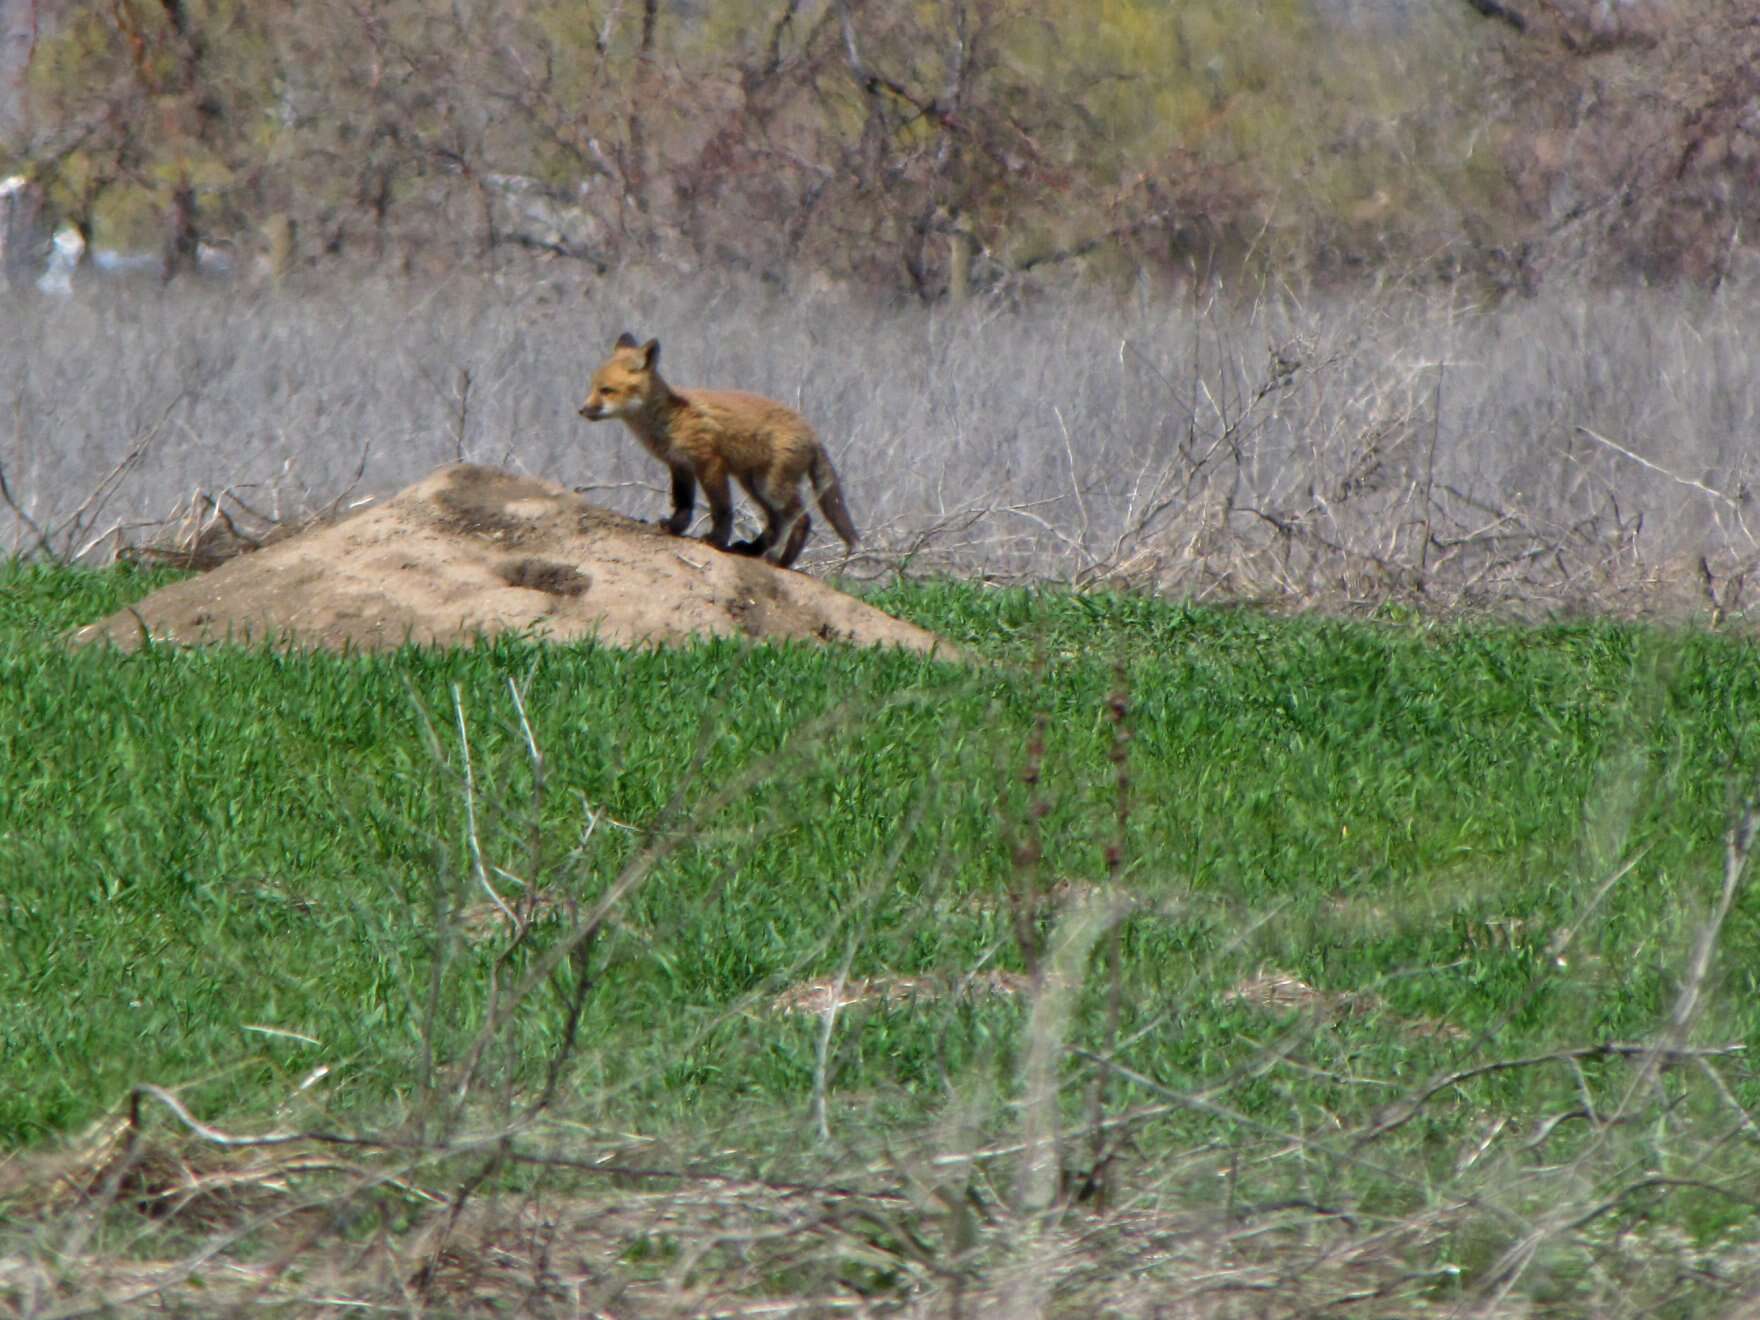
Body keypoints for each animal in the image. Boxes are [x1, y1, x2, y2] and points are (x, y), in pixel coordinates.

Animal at [577, 330, 858, 570]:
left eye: (606, 390)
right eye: (592, 388)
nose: (581, 410)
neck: (669, 419)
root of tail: (812, 432)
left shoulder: (710, 462)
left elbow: (721, 508)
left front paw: (716, 540)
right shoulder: (680, 465)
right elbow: (683, 503)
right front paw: (675, 527)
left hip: (771, 487)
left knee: (802, 518)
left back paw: (782, 561)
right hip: (754, 484)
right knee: (777, 522)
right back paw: (753, 549)